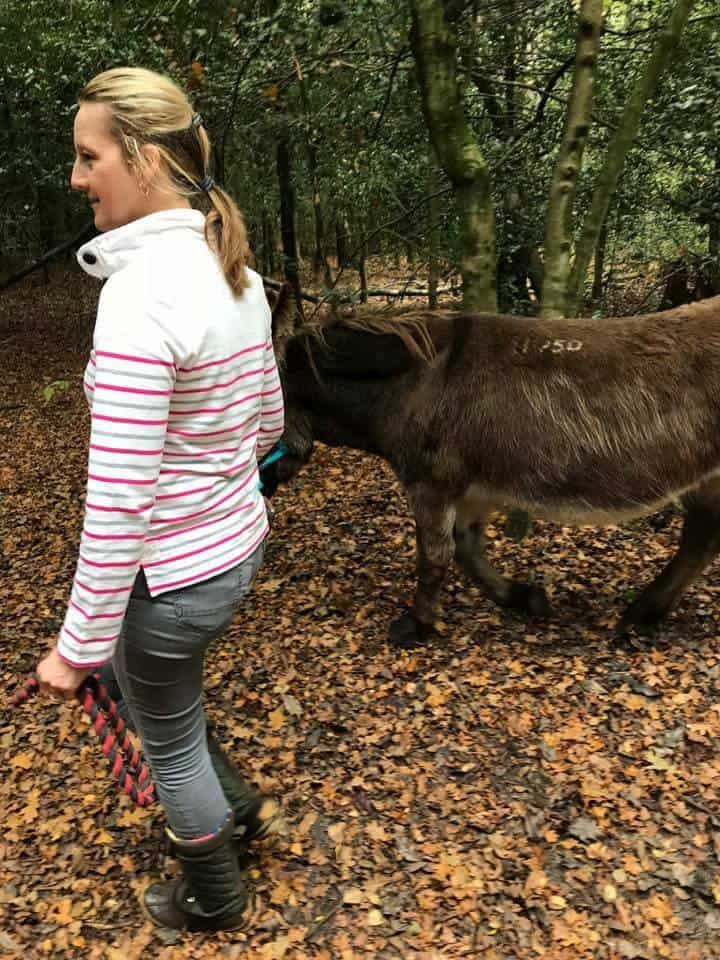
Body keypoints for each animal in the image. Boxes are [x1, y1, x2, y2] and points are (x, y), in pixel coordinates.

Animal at [266, 286, 720, 647]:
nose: (263, 489)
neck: (413, 388)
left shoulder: (432, 484)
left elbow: (434, 556)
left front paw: (416, 625)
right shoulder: (473, 488)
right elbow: (466, 549)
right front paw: (525, 598)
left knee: (701, 538)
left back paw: (640, 615)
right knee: (701, 540)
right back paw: (644, 614)